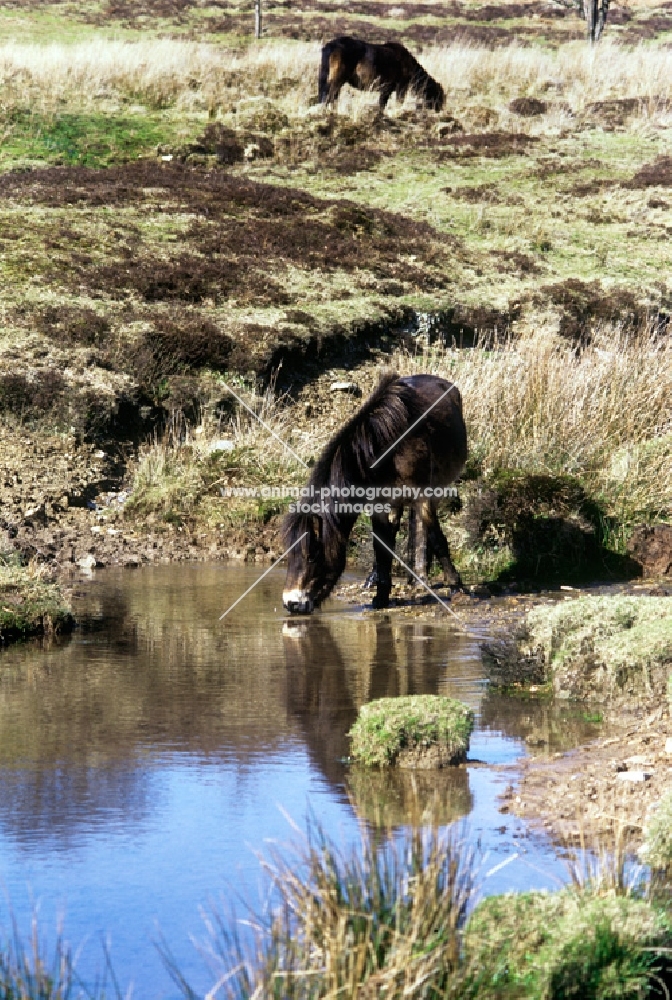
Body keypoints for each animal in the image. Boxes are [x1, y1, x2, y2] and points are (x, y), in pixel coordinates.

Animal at [284, 372, 468, 612]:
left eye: (313, 555)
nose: (291, 604)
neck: (386, 449)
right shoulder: (378, 505)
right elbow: (381, 546)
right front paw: (381, 595)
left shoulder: (423, 497)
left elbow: (437, 539)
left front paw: (457, 588)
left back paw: (421, 579)